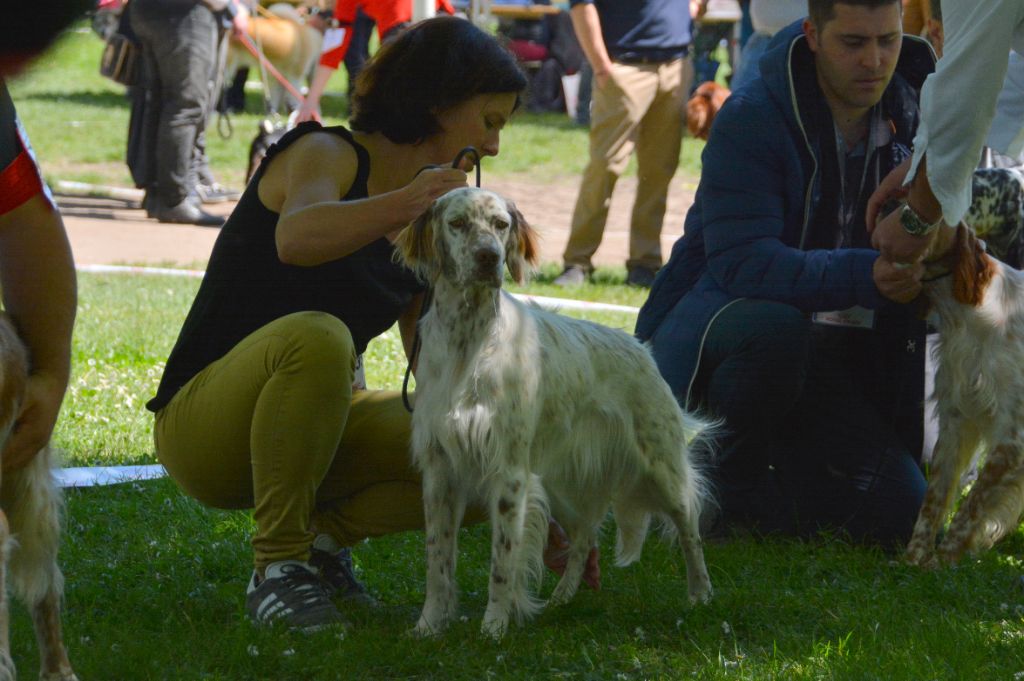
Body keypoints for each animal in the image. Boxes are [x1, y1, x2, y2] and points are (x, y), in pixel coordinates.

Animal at [395, 184, 716, 639]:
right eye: (456, 223)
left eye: (500, 225)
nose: (489, 257)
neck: (467, 341)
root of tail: (640, 347)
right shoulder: (440, 472)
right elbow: (437, 562)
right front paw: (429, 625)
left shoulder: (510, 474)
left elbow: (502, 563)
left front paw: (493, 627)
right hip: (565, 482)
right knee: (584, 538)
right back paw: (562, 599)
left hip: (663, 468)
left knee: (690, 529)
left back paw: (700, 595)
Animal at [905, 218, 1024, 561]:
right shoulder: (956, 420)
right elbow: (934, 498)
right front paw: (913, 559)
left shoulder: (1011, 440)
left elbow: (971, 506)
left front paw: (942, 560)